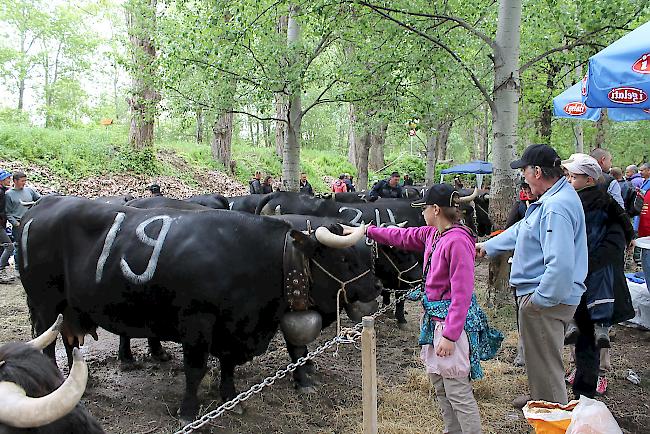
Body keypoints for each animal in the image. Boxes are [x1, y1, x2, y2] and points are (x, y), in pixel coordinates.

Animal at [19, 198, 374, 422]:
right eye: (345, 258)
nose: (377, 288)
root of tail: (42, 206)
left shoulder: (233, 325)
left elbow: (229, 364)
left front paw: (230, 398)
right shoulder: (198, 321)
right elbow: (196, 369)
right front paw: (188, 410)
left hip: (71, 307)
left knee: (70, 341)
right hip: (45, 305)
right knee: (46, 344)